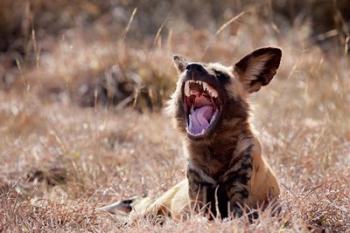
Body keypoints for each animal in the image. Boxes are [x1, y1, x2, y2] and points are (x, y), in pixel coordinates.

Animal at [100, 46, 284, 222]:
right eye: (186, 70)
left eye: (220, 75)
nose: (192, 67)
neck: (213, 150)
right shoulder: (199, 202)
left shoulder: (240, 208)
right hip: (147, 214)